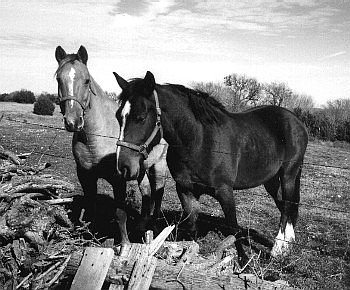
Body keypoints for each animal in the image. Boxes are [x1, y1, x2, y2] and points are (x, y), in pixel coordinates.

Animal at [113, 71, 308, 266]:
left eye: (141, 117)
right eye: (118, 116)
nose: (123, 167)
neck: (199, 141)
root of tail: (296, 120)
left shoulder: (225, 191)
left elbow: (233, 227)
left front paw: (243, 260)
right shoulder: (186, 190)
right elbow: (191, 227)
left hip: (288, 174)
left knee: (288, 205)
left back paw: (278, 249)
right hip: (272, 180)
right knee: (284, 205)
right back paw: (286, 245)